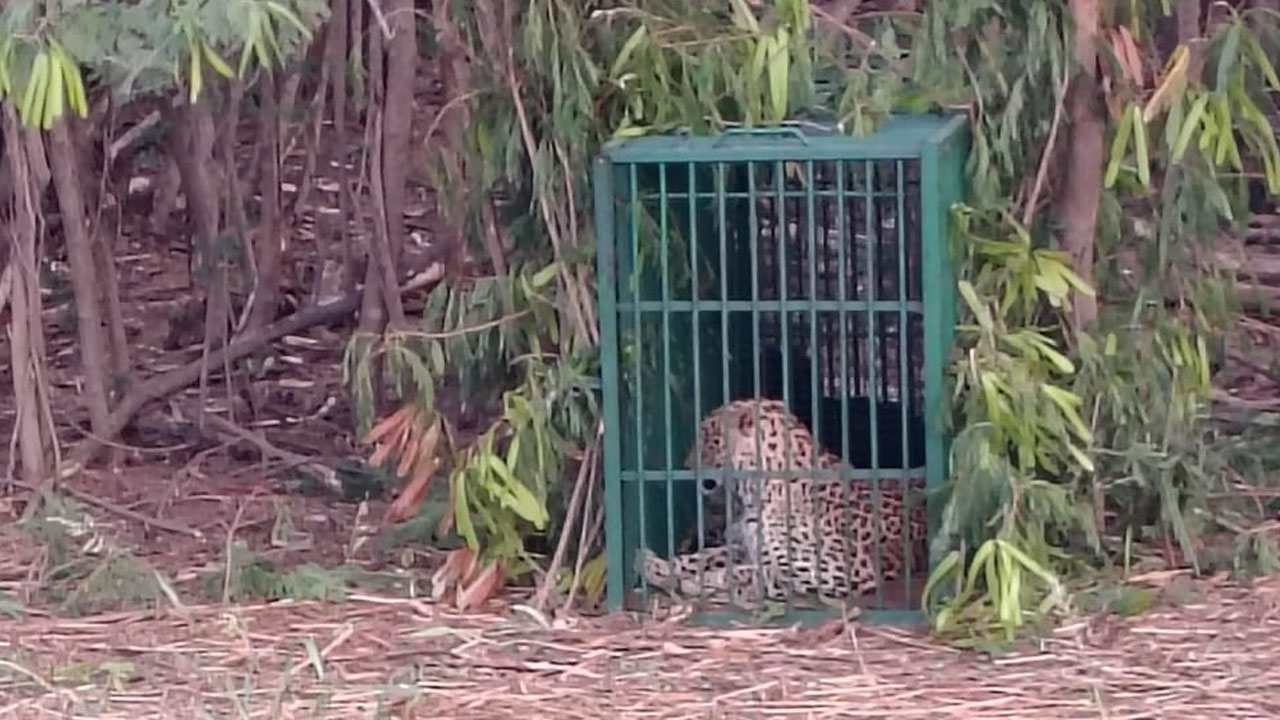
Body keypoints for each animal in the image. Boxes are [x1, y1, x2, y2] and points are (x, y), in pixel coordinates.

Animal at [640, 398, 929, 608]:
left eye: (709, 439)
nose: (686, 465)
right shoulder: (745, 546)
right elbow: (706, 556)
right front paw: (660, 567)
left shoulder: (844, 568)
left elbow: (757, 571)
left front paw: (700, 581)